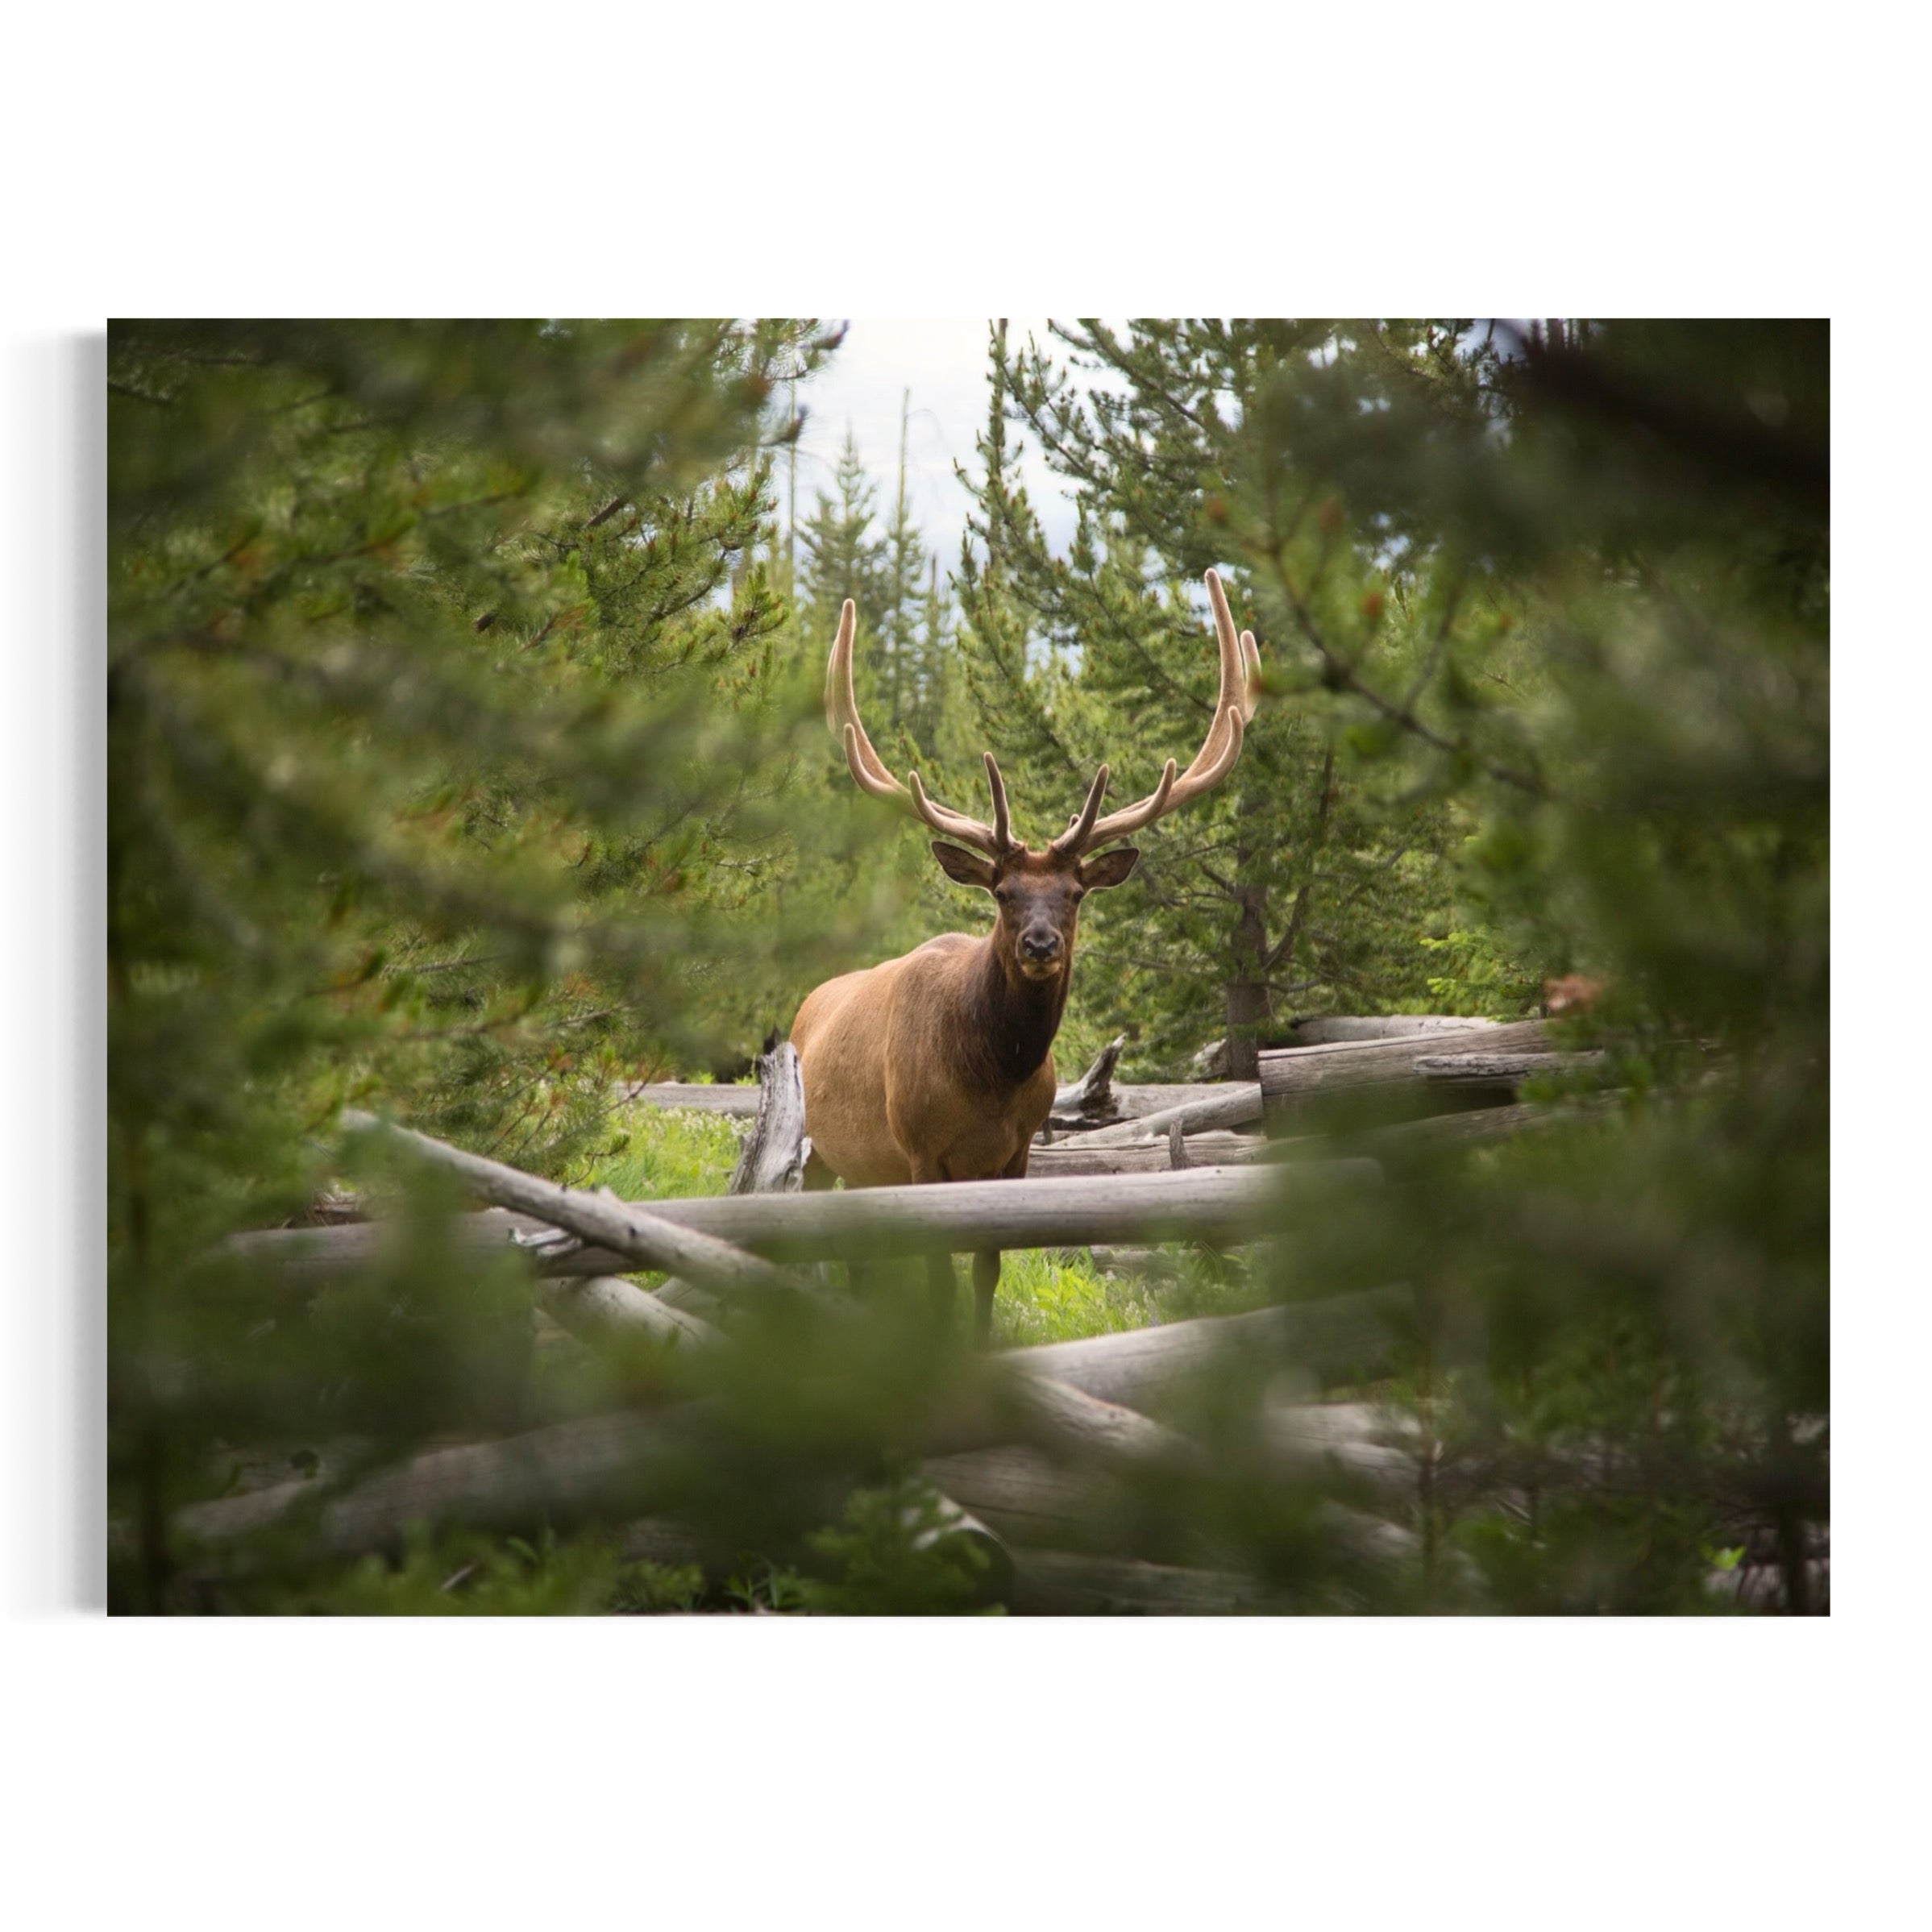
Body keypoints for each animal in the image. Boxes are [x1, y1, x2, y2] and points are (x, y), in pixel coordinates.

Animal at [789, 569, 1262, 1345]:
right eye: (1004, 892)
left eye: (1073, 893)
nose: (1040, 943)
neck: (989, 1080)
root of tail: (806, 1006)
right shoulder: (918, 1149)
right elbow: (940, 1279)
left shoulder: (1014, 1155)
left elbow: (986, 1270)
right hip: (817, 1145)